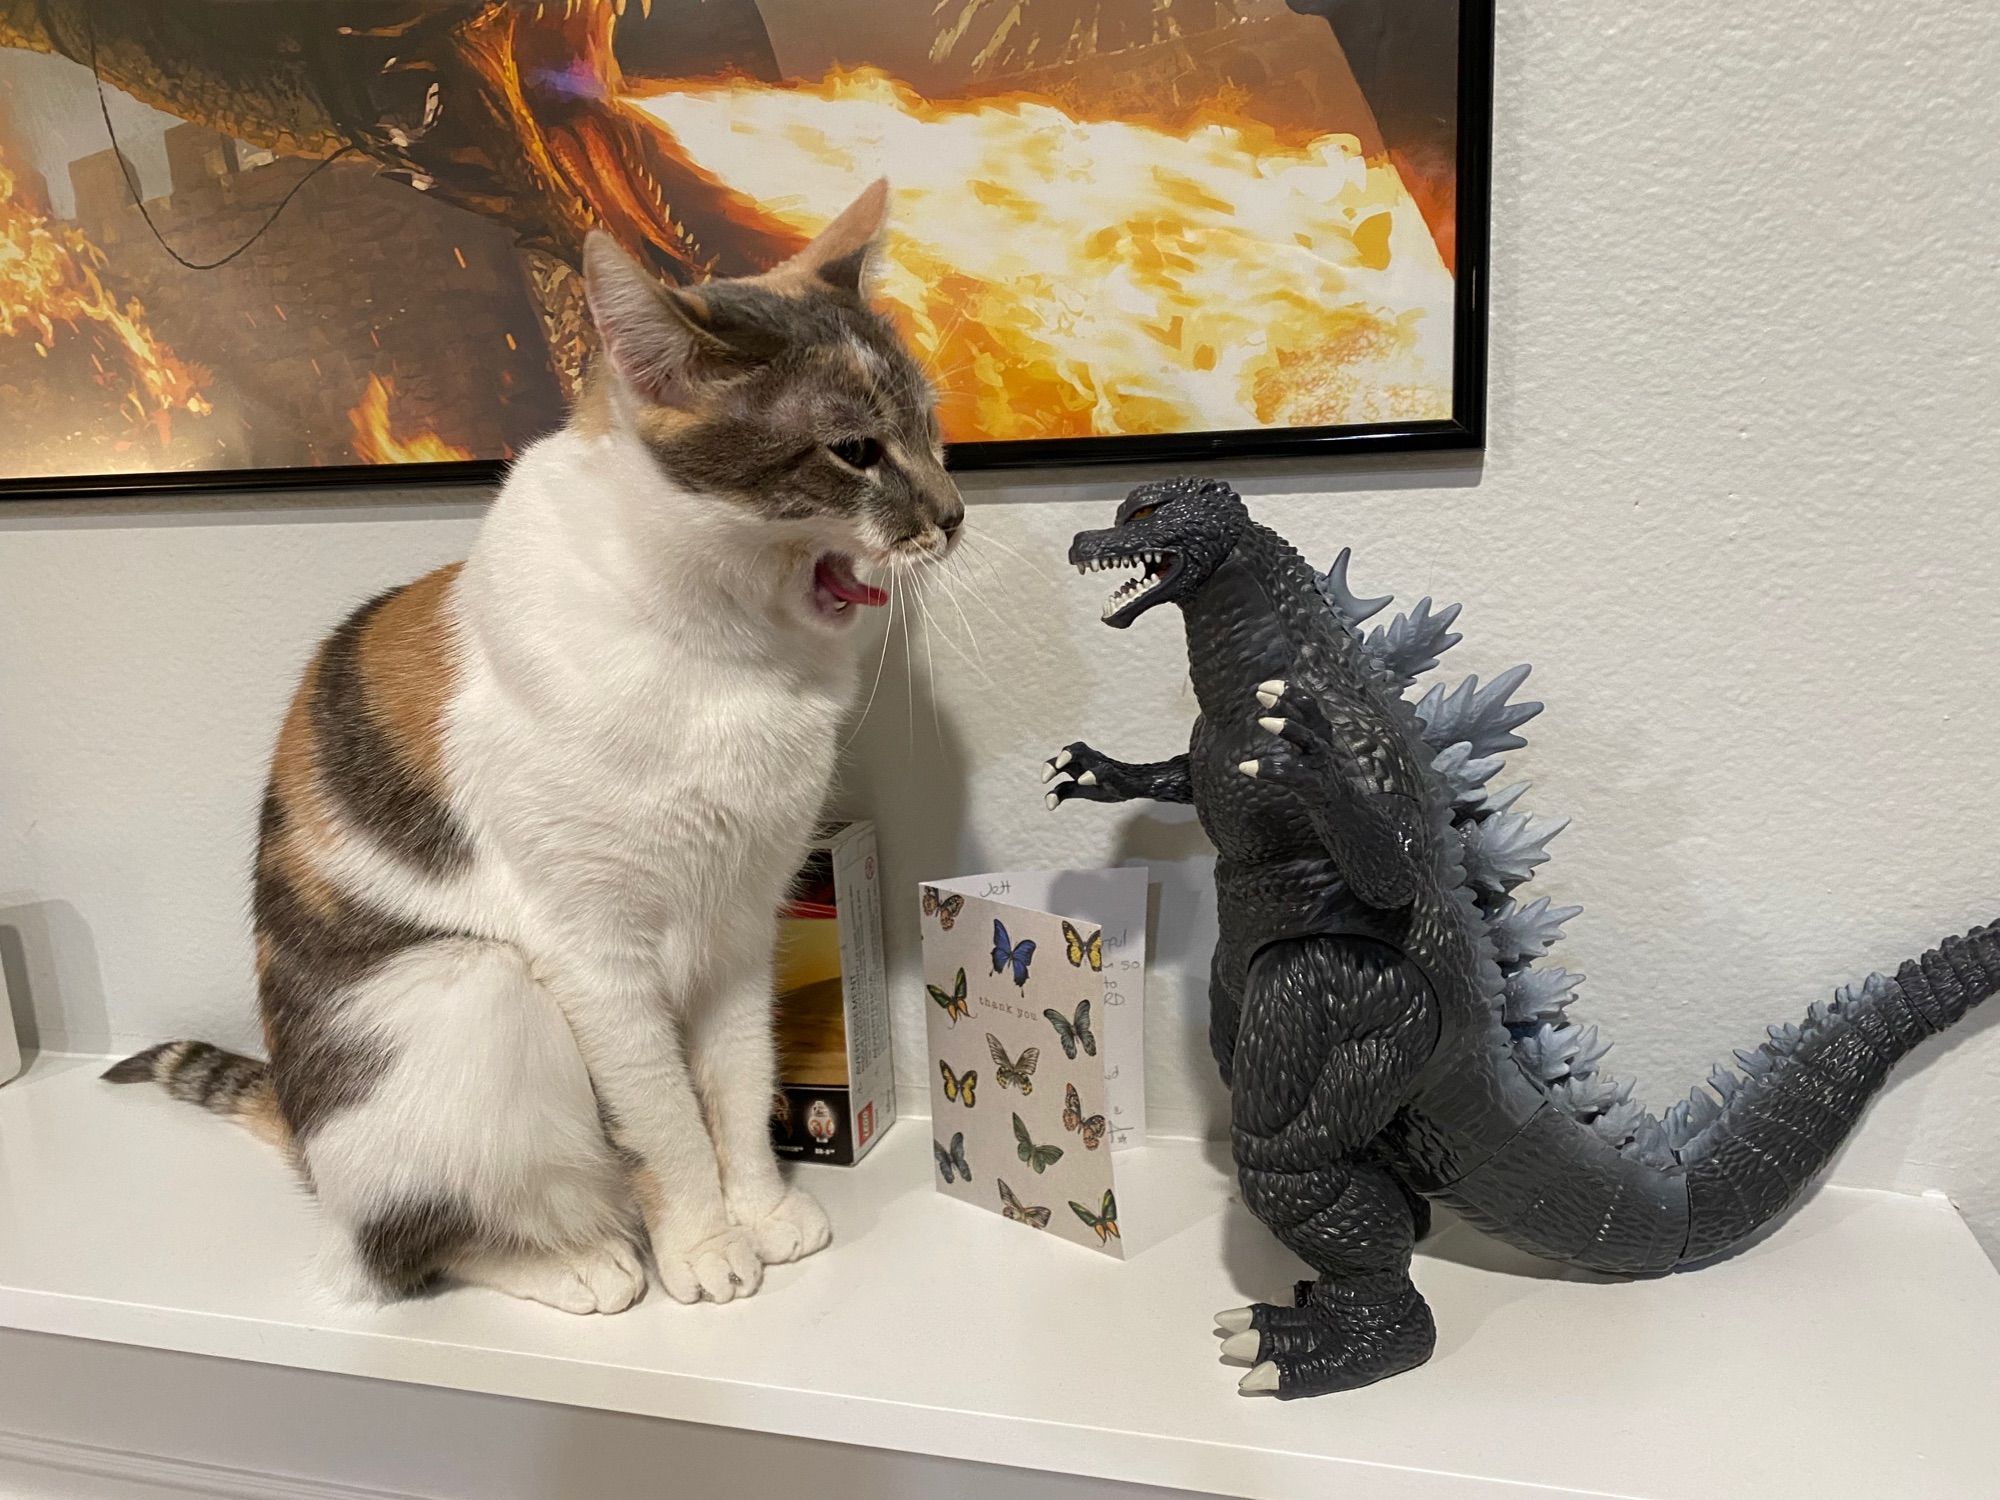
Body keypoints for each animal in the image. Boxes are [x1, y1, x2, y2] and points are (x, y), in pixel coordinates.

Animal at [105, 182, 964, 1312]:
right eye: (855, 450)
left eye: (932, 430)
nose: (954, 516)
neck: (734, 657)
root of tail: (302, 1131)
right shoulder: (595, 955)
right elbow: (663, 1122)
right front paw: (702, 1242)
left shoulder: (741, 922)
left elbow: (736, 1086)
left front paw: (763, 1209)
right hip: (474, 997)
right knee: (401, 1244)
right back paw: (580, 1261)